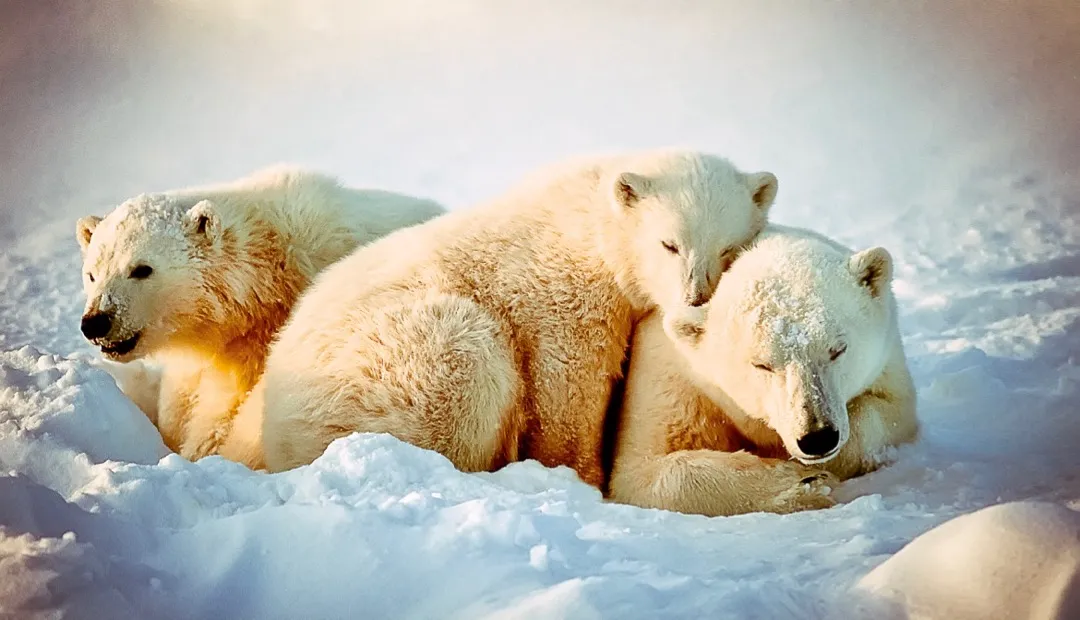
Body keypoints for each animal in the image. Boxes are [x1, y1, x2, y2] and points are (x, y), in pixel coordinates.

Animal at [244, 149, 780, 485]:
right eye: (669, 243)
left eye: (729, 248)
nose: (695, 296)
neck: (593, 222)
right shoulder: (563, 292)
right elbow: (568, 387)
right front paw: (580, 476)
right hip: (387, 369)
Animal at [608, 224, 919, 517]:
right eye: (762, 364)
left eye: (837, 350)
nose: (817, 437)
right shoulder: (673, 380)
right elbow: (642, 471)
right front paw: (802, 483)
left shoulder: (888, 362)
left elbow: (889, 415)